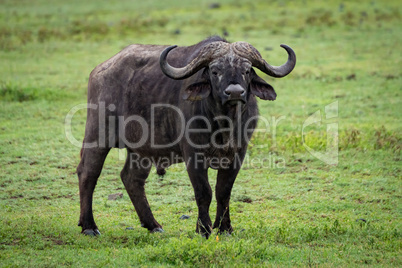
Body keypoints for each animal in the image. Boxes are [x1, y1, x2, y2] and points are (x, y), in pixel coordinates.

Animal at [77, 36, 296, 239]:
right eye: (215, 71)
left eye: (247, 70)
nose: (235, 92)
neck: (224, 125)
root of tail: (99, 71)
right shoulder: (193, 155)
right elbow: (204, 192)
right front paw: (204, 229)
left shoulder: (238, 154)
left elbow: (223, 191)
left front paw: (225, 228)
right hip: (98, 135)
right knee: (88, 173)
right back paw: (89, 226)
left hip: (141, 151)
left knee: (131, 178)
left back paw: (153, 225)